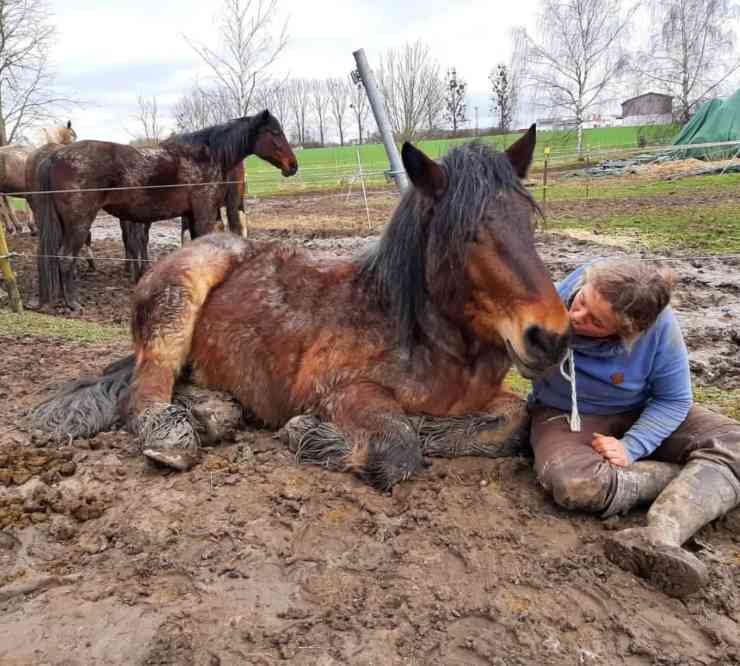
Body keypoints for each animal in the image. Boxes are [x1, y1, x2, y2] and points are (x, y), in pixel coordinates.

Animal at [33, 110, 297, 309]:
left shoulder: (191, 215)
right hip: (79, 223)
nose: (293, 166)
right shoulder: (203, 213)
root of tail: (55, 155)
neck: (206, 155)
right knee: (65, 257)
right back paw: (73, 303)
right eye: (275, 132)